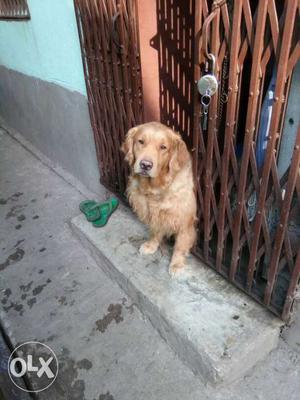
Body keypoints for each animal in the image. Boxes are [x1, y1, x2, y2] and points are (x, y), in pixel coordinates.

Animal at [120, 122, 198, 276]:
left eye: (163, 147)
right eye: (141, 141)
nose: (145, 165)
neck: (156, 188)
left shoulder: (185, 221)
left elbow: (180, 245)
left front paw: (176, 264)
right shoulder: (153, 213)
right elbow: (156, 231)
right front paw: (151, 245)